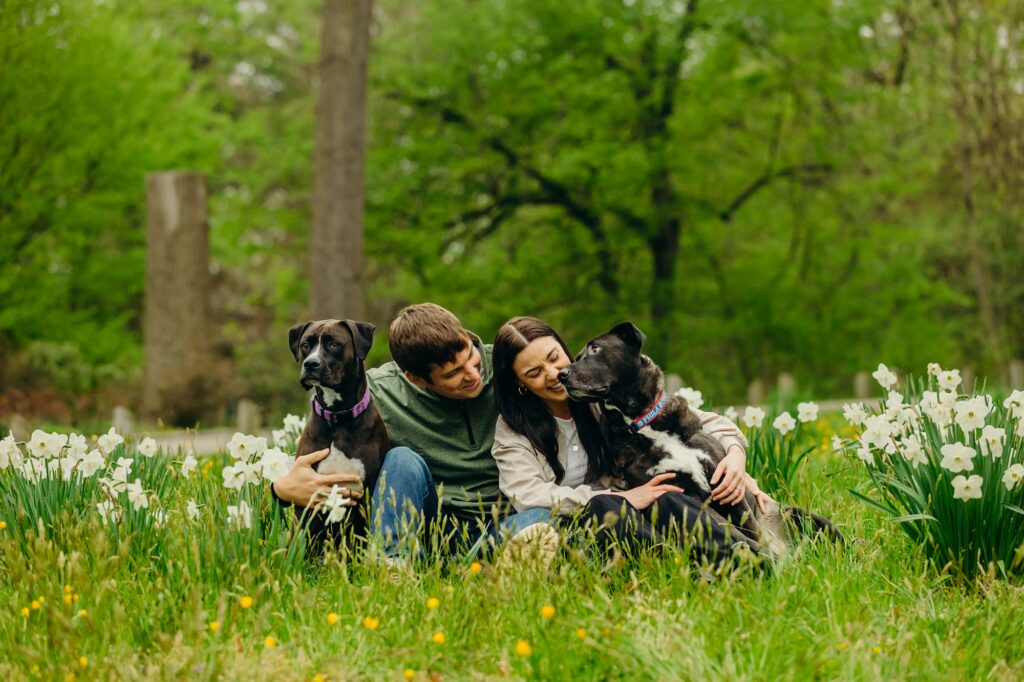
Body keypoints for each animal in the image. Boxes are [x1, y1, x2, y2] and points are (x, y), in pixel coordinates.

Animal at [561, 321, 839, 557]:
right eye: (576, 357)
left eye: (595, 349)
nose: (562, 374)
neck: (642, 423)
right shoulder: (678, 489)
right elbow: (728, 528)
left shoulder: (724, 481)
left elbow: (749, 526)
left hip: (807, 517)